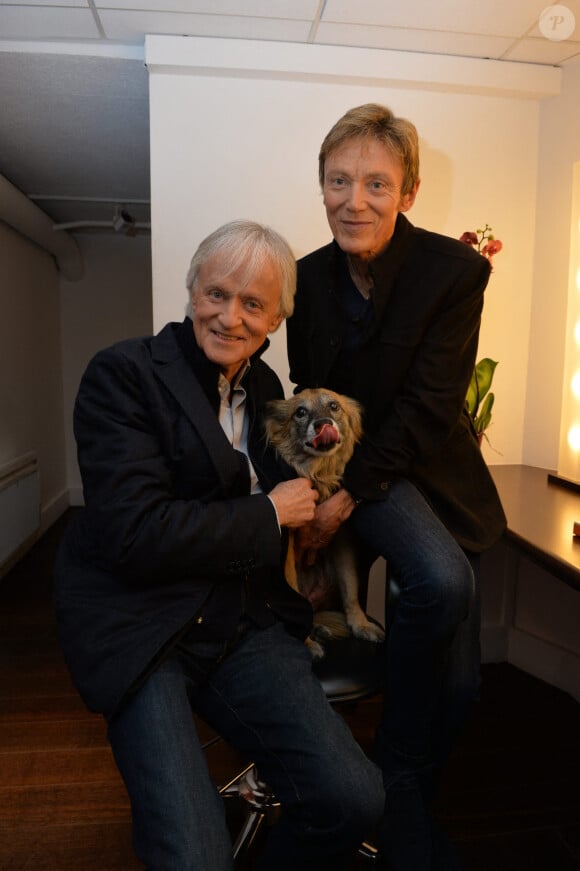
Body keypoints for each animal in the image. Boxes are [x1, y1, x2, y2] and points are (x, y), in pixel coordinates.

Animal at [264, 392, 382, 656]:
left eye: (334, 406)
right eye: (300, 412)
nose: (323, 424)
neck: (320, 473)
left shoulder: (340, 538)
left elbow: (350, 587)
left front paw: (360, 624)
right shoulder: (288, 546)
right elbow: (293, 593)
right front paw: (306, 643)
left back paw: (320, 629)